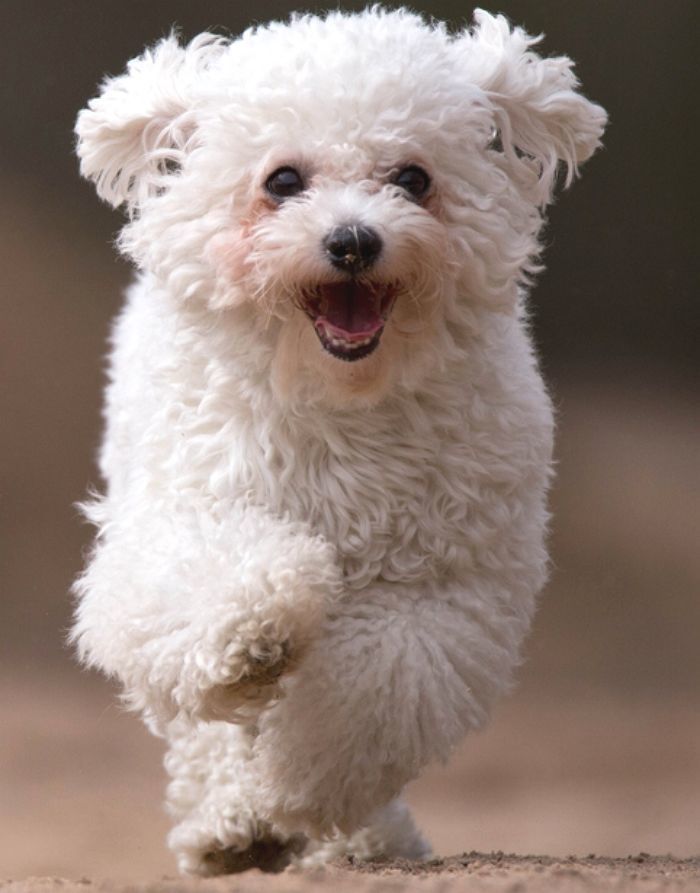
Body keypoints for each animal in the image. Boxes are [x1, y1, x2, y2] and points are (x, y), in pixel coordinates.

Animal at [72, 5, 608, 872]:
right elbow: (217, 590)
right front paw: (257, 629)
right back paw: (231, 820)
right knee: (211, 728)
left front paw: (296, 788)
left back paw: (336, 833)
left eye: (413, 178)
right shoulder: (183, 517)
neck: (339, 397)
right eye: (284, 180)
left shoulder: (441, 586)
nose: (353, 240)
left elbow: (373, 690)